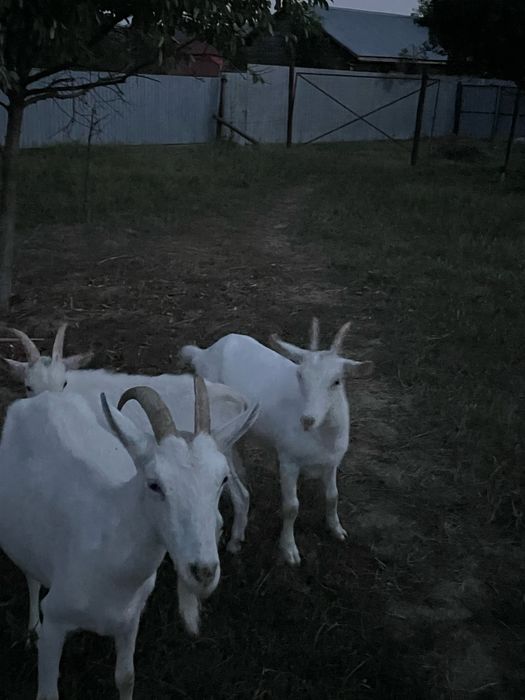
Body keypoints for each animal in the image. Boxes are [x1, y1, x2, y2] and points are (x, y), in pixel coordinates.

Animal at [0, 379, 256, 700]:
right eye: (154, 484)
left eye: (222, 479)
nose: (204, 572)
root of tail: (40, 398)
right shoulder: (55, 621)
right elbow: (48, 692)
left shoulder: (129, 620)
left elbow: (126, 678)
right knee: (32, 578)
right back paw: (31, 629)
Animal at [180, 318, 374, 565]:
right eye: (300, 376)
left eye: (337, 381)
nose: (307, 419)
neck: (322, 438)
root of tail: (205, 352)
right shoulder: (288, 460)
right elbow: (291, 507)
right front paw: (289, 550)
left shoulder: (332, 462)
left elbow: (333, 496)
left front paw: (337, 530)